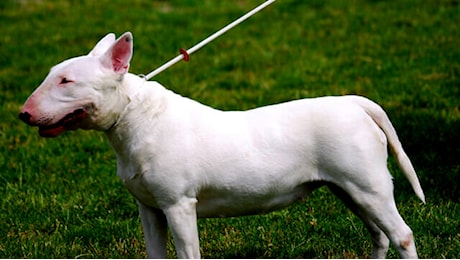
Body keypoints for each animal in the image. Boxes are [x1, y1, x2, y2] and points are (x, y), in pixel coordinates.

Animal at [20, 32, 424, 258]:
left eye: (66, 81)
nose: (23, 114)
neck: (136, 116)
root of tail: (354, 103)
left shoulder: (179, 205)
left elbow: (188, 254)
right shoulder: (149, 208)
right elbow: (155, 253)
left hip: (368, 185)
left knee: (401, 235)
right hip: (349, 189)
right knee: (379, 235)